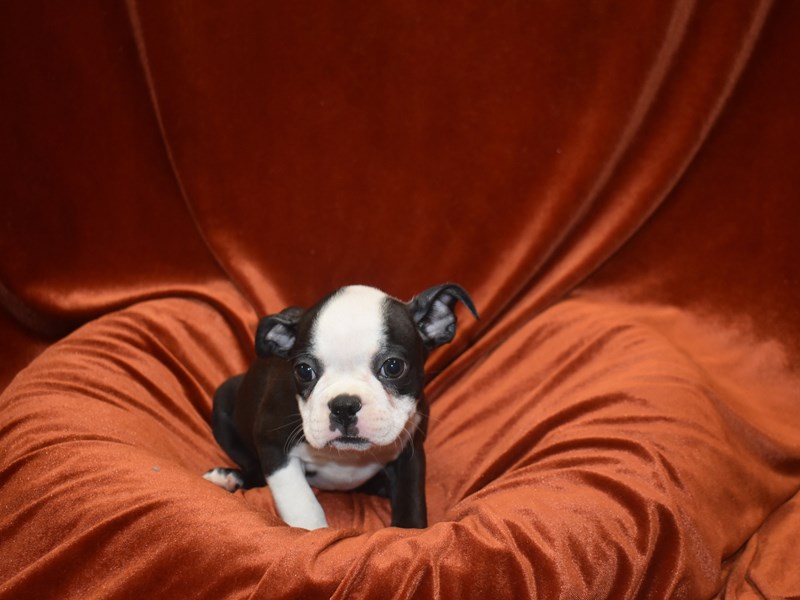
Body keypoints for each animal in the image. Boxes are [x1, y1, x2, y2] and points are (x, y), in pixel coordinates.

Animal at [205, 284, 476, 528]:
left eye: (393, 366)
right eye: (303, 370)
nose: (344, 406)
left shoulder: (410, 451)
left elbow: (410, 502)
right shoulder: (273, 446)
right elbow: (303, 506)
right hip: (223, 401)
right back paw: (229, 477)